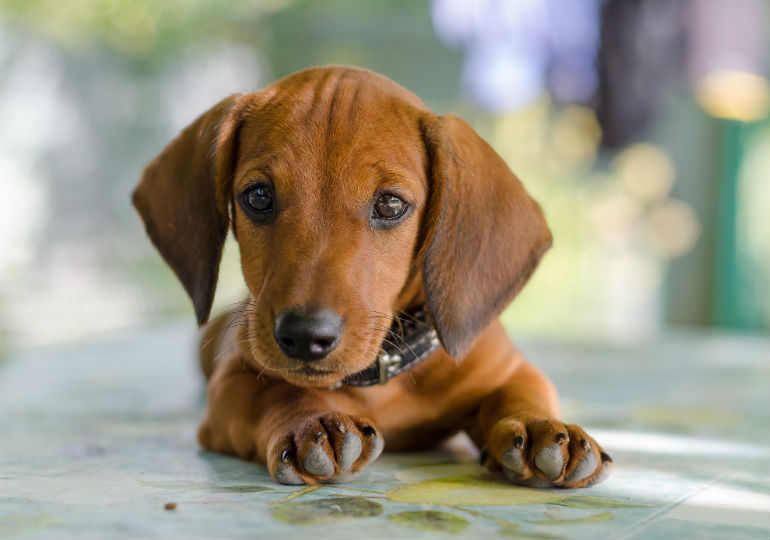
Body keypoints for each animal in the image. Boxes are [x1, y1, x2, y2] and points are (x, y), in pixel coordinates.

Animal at [134, 65, 612, 488]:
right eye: (258, 196)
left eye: (390, 204)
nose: (305, 336)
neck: (380, 373)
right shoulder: (231, 385)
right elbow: (280, 392)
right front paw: (313, 422)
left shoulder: (508, 369)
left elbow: (519, 394)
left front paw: (538, 427)